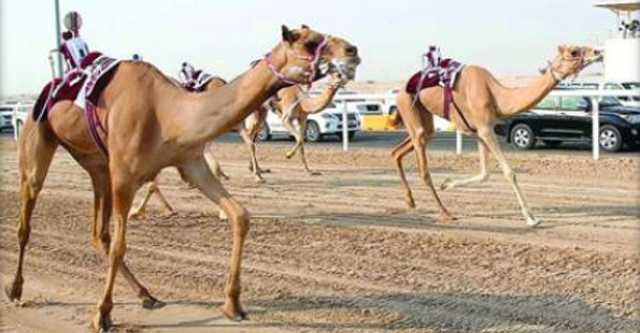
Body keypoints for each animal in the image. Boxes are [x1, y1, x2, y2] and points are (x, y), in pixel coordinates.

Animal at [3, 24, 360, 330]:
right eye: (310, 42)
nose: (353, 50)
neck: (168, 113)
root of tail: (47, 91)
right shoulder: (125, 176)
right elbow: (121, 244)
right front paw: (101, 315)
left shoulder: (189, 162)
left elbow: (240, 215)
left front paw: (232, 303)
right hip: (40, 144)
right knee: (27, 218)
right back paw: (16, 290)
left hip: (96, 165)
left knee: (98, 234)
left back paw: (147, 295)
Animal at [392, 44, 604, 226]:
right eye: (574, 51)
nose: (598, 51)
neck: (496, 95)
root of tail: (400, 89)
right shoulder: (485, 129)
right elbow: (509, 172)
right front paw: (531, 218)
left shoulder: (479, 130)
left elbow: (484, 174)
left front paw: (447, 183)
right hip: (408, 106)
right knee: (423, 168)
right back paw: (445, 212)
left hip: (423, 118)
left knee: (398, 151)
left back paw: (410, 201)